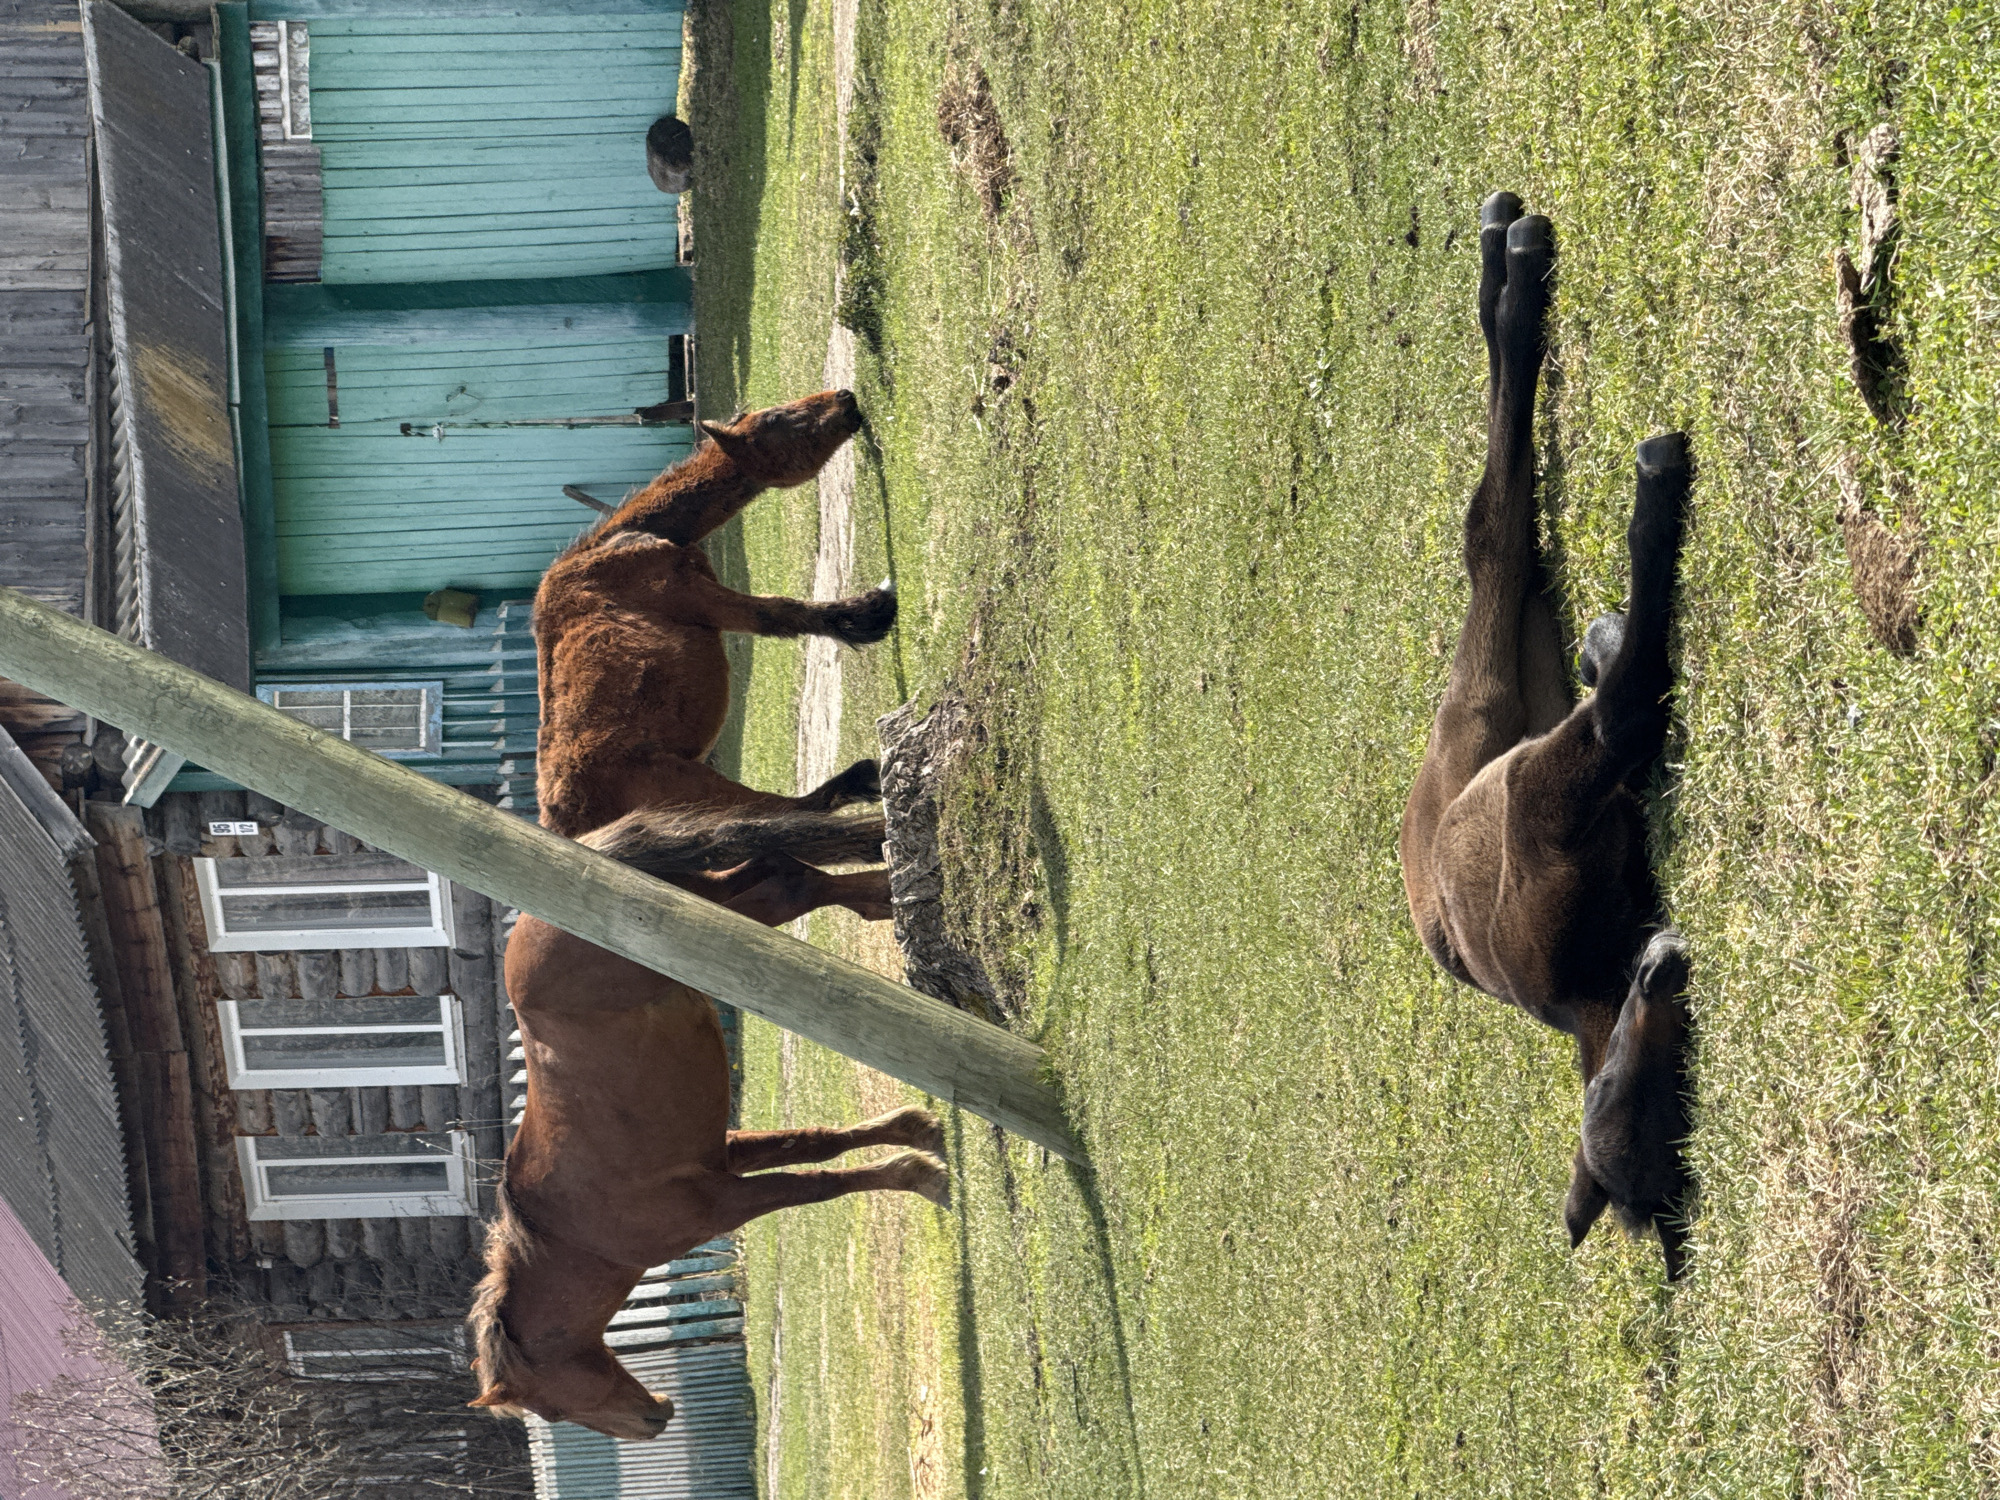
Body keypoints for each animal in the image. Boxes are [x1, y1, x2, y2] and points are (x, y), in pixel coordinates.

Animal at [468, 395, 948, 1436]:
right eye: (782, 429)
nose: (846, 404)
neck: (608, 550)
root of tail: (575, 843)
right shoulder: (707, 604)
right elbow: (794, 618)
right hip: (708, 838)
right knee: (790, 855)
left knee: (789, 860)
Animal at [1397, 193, 1696, 1277]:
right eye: (1615, 1098)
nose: (1665, 966)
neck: (1588, 986)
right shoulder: (1541, 798)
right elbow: (1628, 711)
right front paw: (1654, 508)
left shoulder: (1535, 784)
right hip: (1497, 731)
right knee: (1496, 531)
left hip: (1493, 713)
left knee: (1500, 537)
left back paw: (1506, 269)